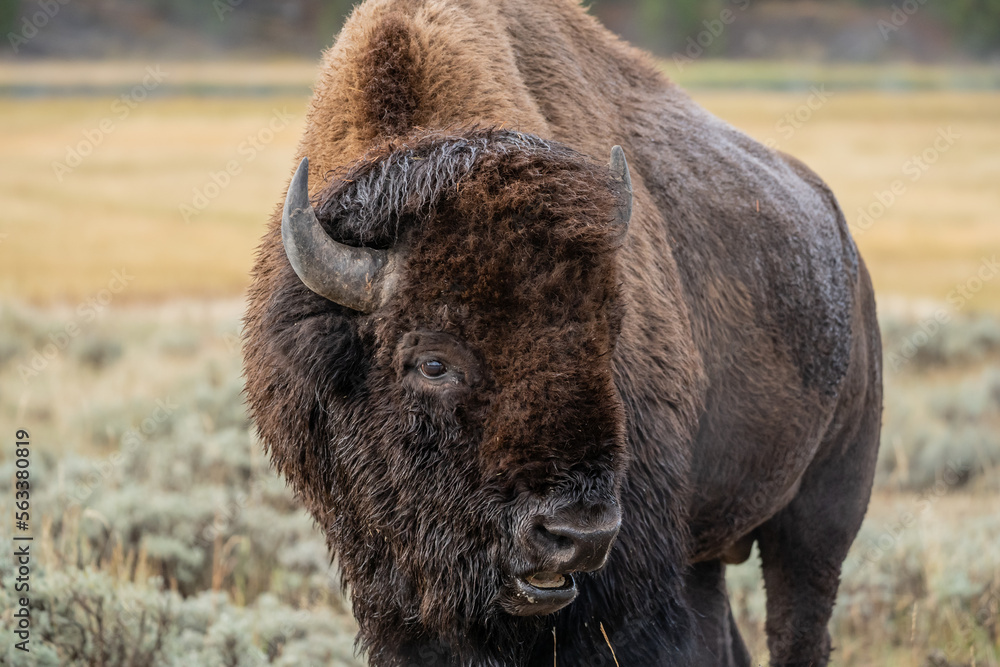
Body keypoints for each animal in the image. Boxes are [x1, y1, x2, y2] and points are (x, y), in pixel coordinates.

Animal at [242, 0, 882, 664]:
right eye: (433, 362)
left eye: (608, 340)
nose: (577, 533)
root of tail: (847, 253)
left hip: (824, 508)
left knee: (798, 621)